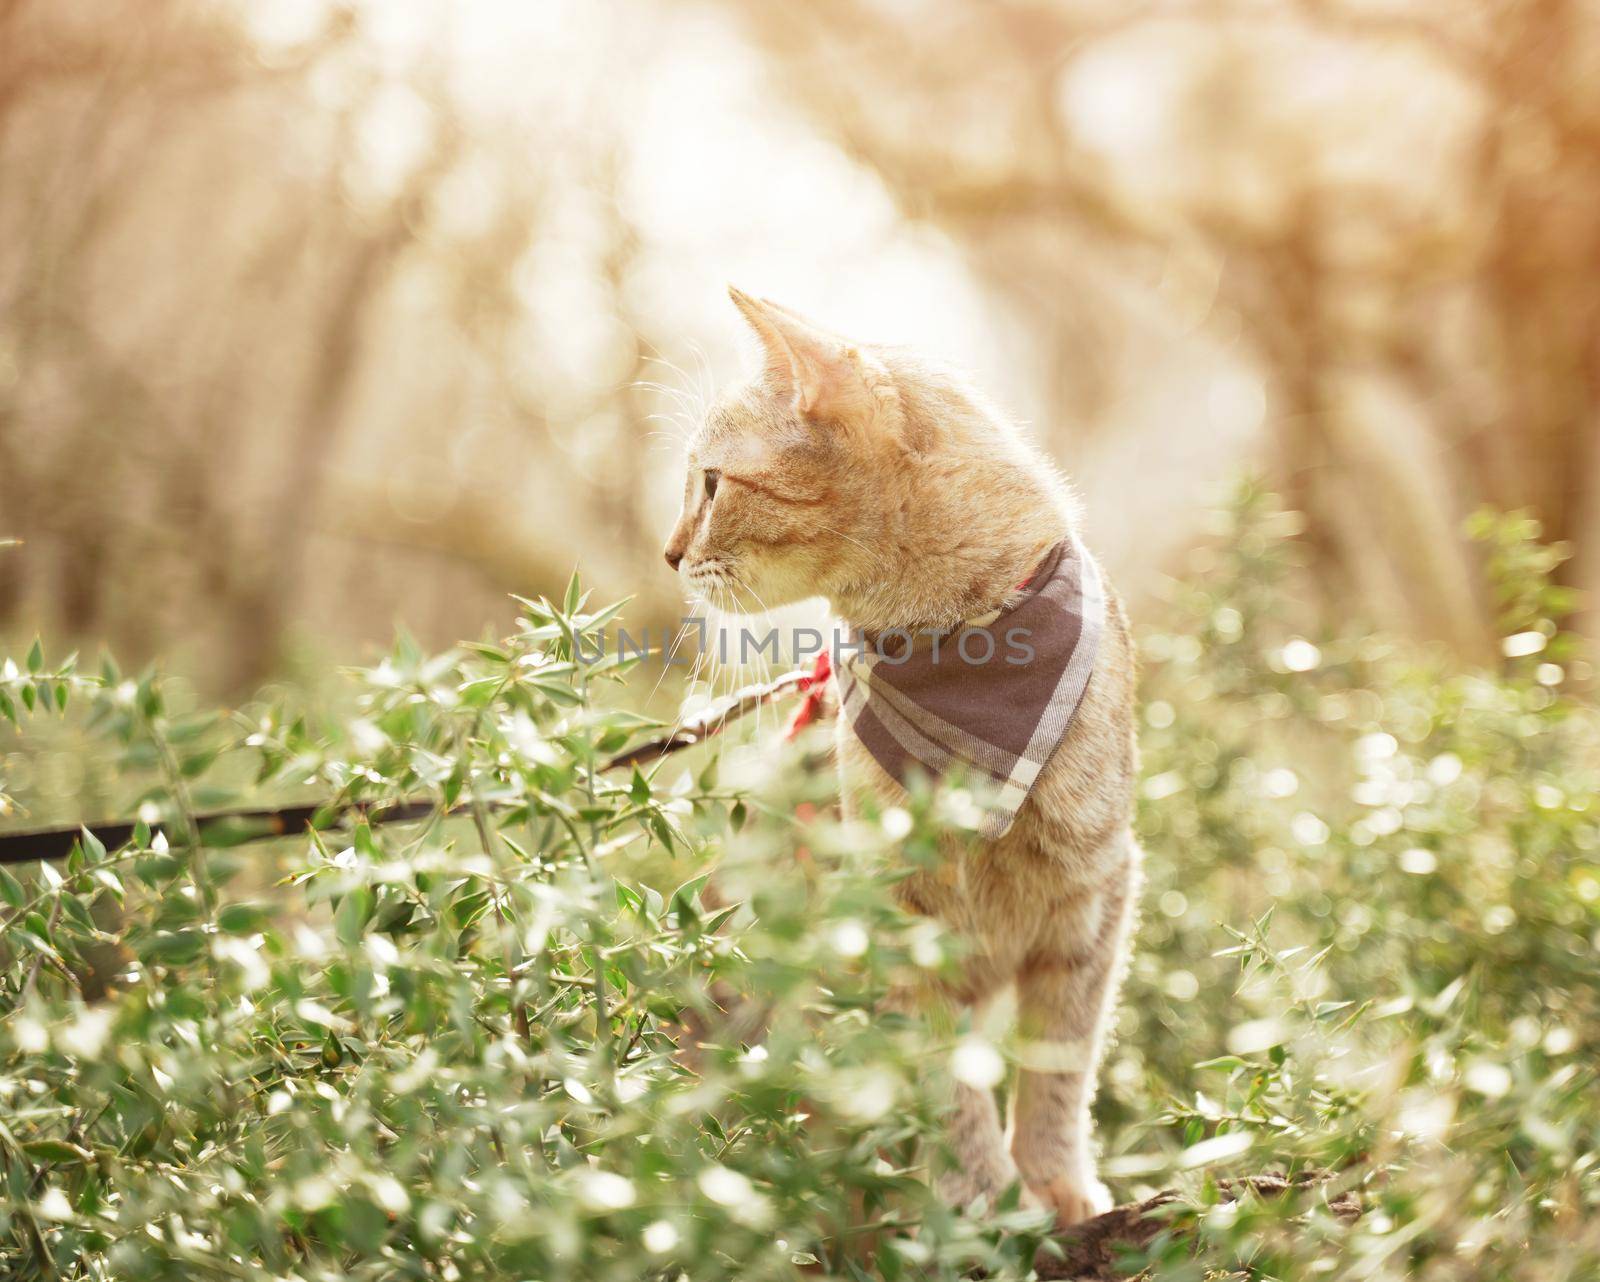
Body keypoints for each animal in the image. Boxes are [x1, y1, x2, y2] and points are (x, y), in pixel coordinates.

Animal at [659, 284, 1139, 1222]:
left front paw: (1054, 1183)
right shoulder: (895, 922)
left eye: (712, 483)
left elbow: (1058, 1070)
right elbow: (944, 1081)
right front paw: (978, 1198)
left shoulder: (1096, 900)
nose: (669, 553)